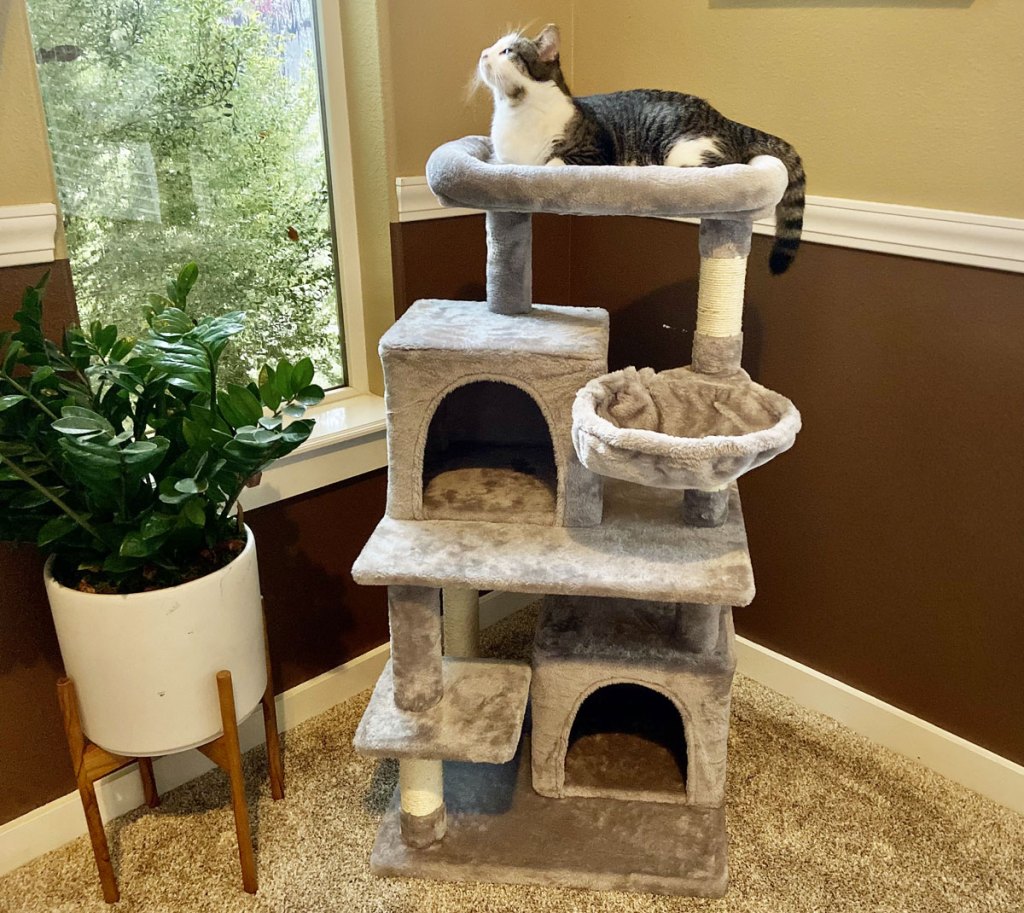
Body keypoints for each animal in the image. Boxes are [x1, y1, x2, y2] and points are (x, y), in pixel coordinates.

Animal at [476, 25, 806, 274]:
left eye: (507, 51)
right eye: (493, 46)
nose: (482, 53)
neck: (516, 114)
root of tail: (726, 119)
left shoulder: (592, 153)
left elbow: (550, 163)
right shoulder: (501, 158)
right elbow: (498, 165)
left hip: (686, 149)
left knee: (713, 167)